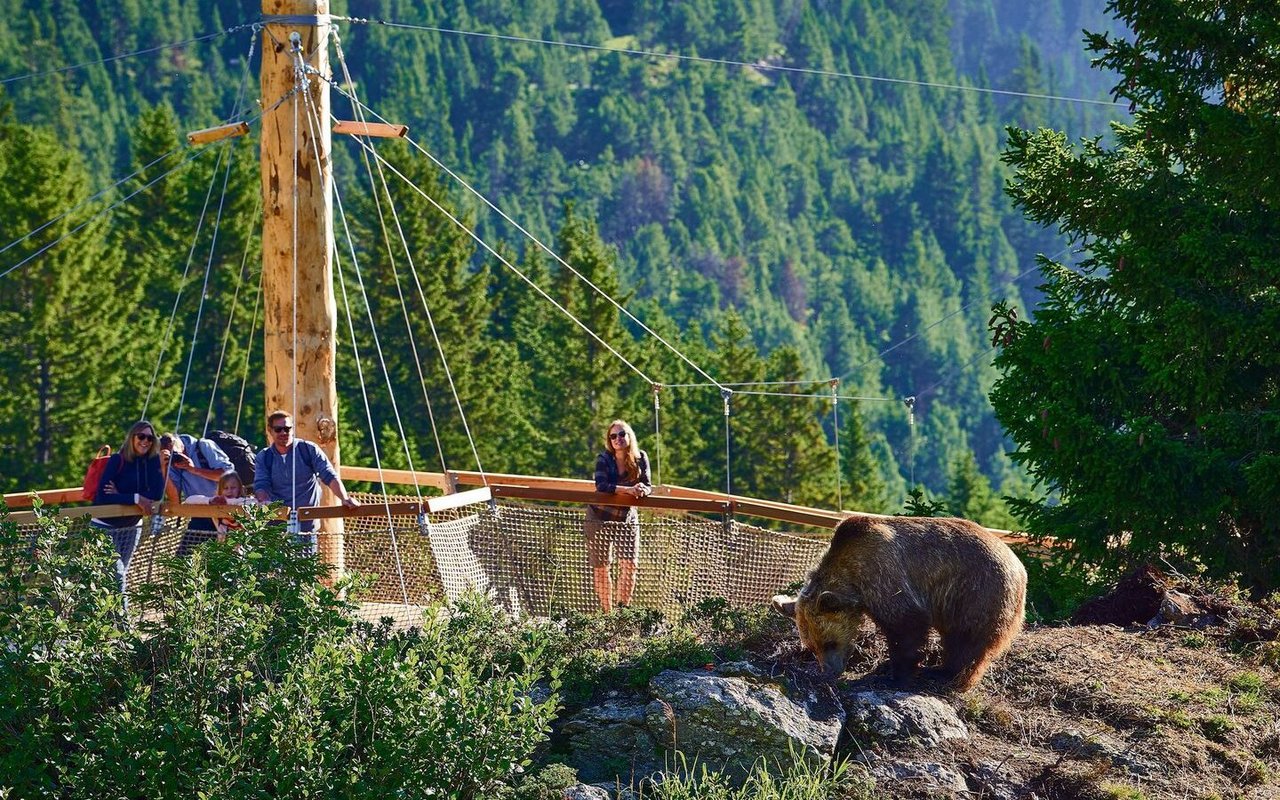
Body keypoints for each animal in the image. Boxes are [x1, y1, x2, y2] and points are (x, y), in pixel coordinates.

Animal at [768, 514, 1029, 691]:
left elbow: (906, 624)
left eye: (829, 642)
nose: (830, 671)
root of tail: (1020, 567)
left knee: (966, 639)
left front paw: (896, 674)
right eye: (812, 646)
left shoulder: (883, 575)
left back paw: (944, 674)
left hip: (977, 591)